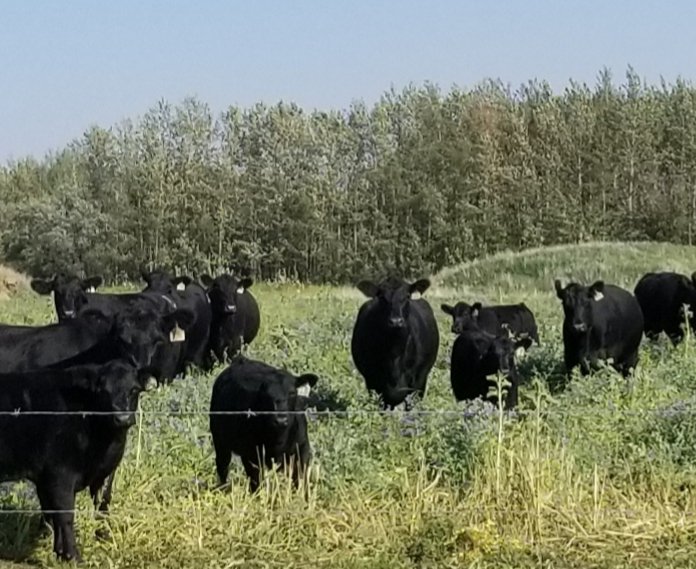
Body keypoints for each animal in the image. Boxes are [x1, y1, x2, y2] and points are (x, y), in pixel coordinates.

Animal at [0, 359, 148, 561]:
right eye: (103, 391)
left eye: (134, 389)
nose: (122, 418)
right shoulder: (60, 475)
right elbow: (65, 515)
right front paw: (73, 556)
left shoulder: (98, 476)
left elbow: (100, 506)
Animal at [209, 357, 318, 492]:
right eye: (267, 395)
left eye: (292, 393)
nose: (280, 420)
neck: (279, 439)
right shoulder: (251, 454)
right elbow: (256, 482)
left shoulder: (302, 449)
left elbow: (301, 480)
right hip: (220, 442)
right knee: (222, 467)